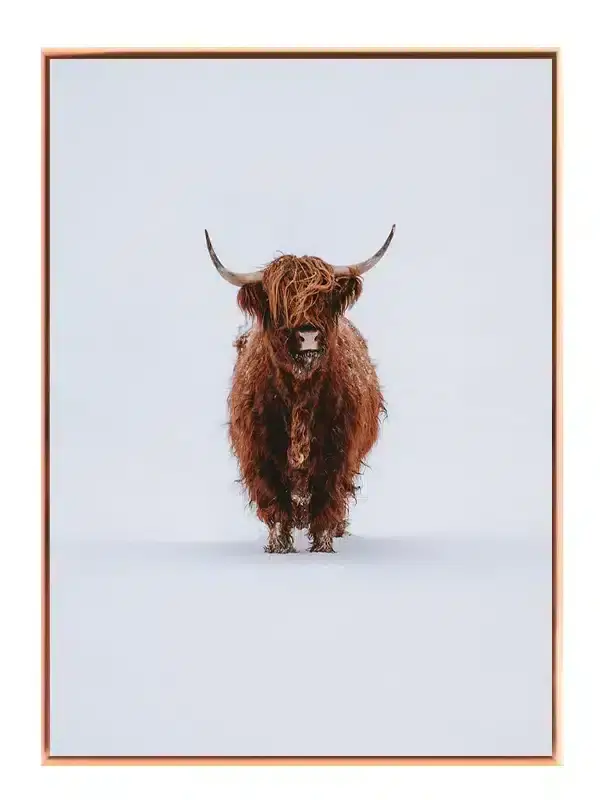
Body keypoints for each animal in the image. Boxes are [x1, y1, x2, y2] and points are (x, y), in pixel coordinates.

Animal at [205, 226, 395, 553]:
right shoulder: (259, 454)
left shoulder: (338, 453)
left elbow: (328, 500)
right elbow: (275, 503)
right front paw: (279, 548)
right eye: (280, 305)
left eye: (322, 298)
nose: (308, 334)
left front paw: (323, 547)